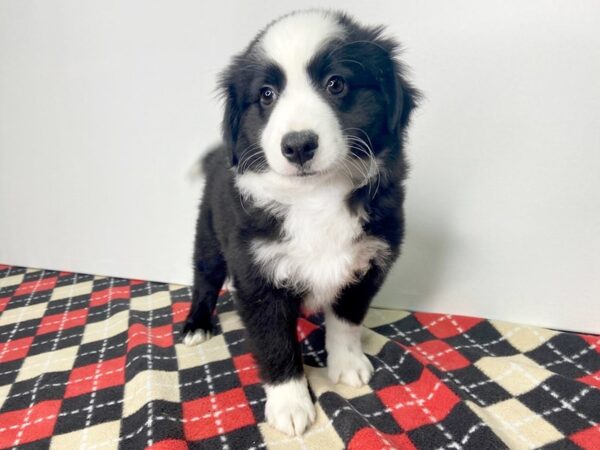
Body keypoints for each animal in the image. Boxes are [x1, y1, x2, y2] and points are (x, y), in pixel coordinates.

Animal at [183, 9, 418, 436]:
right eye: (266, 94)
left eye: (336, 83)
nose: (298, 145)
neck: (316, 197)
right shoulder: (258, 276)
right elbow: (275, 342)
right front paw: (290, 404)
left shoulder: (367, 264)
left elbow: (346, 321)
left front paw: (348, 363)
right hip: (209, 234)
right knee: (204, 278)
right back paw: (196, 324)